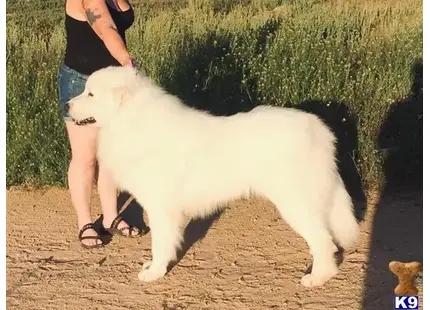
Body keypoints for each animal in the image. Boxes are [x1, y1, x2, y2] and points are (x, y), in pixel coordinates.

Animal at [68, 66, 360, 288]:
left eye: (90, 93)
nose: (66, 104)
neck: (132, 122)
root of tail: (320, 129)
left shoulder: (161, 208)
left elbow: (160, 243)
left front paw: (154, 273)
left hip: (294, 203)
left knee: (322, 240)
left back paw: (318, 277)